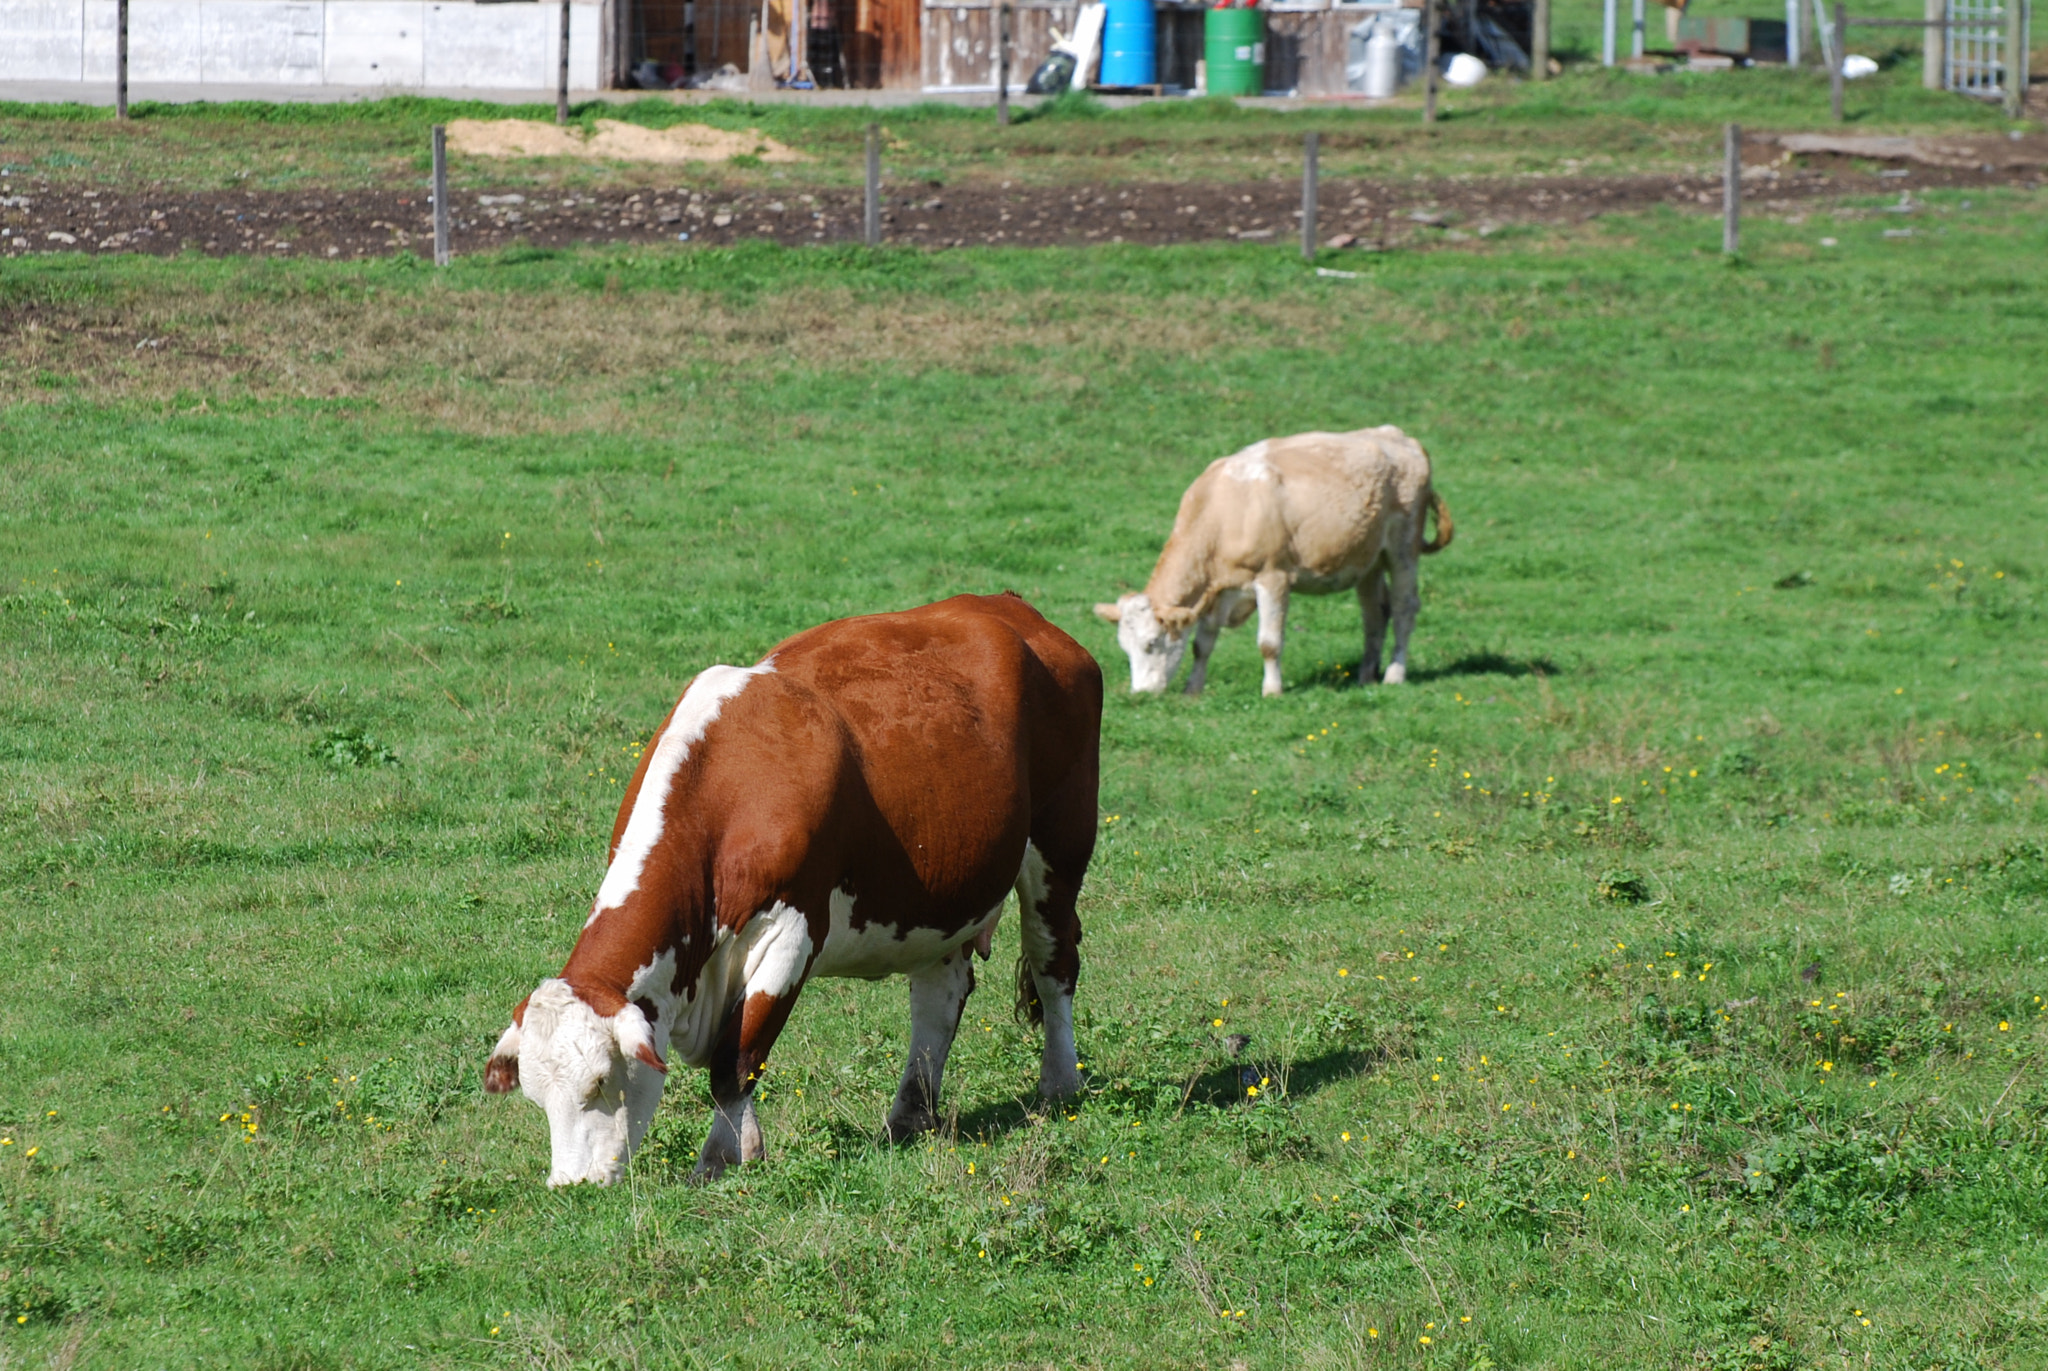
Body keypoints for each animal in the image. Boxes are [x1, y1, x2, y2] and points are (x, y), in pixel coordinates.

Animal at [483, 593, 1102, 1186]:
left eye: (600, 1081)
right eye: (536, 1097)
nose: (570, 1185)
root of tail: (1011, 608)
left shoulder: (792, 931)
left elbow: (737, 1056)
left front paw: (719, 1158)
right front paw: (743, 1148)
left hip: (1061, 848)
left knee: (1054, 968)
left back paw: (1058, 1084)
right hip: (947, 892)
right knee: (939, 997)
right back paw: (910, 1114)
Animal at [1094, 426, 1452, 697]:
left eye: (1151, 643)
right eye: (1125, 648)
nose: (1140, 694)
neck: (1224, 511)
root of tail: (1398, 436)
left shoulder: (1273, 577)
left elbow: (1269, 642)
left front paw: (1272, 690)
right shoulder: (1218, 588)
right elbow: (1202, 644)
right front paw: (1193, 690)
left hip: (1403, 548)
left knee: (1405, 607)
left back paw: (1394, 673)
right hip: (1368, 560)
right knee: (1375, 614)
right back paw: (1366, 675)